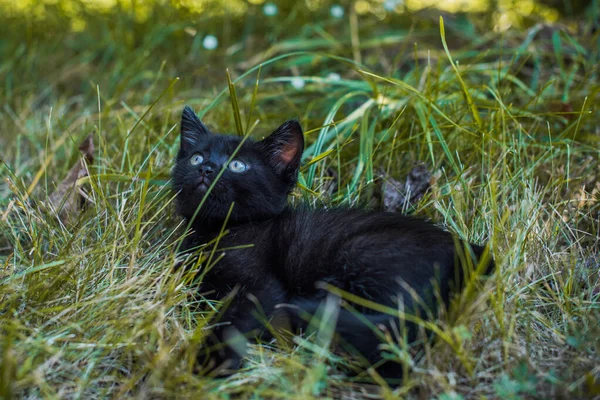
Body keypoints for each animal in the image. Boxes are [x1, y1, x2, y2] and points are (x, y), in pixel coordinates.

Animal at [171, 106, 494, 382]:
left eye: (238, 165)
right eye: (196, 157)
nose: (206, 168)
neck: (216, 230)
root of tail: (473, 254)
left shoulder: (261, 286)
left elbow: (233, 322)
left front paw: (208, 363)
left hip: (361, 253)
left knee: (396, 333)